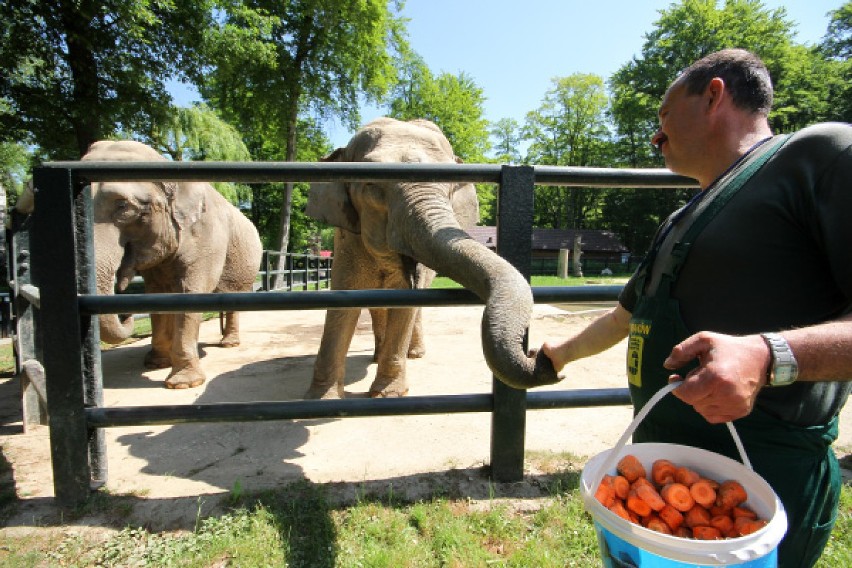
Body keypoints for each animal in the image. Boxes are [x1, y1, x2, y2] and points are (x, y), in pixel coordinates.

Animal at [85, 141, 262, 388]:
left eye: (123, 206)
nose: (126, 314)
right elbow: (155, 296)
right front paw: (156, 363)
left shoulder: (205, 236)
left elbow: (191, 293)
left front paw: (182, 384)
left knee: (234, 297)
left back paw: (229, 343)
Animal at [306, 117, 560, 398]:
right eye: (371, 184)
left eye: (450, 187)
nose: (538, 353)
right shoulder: (346, 240)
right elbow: (342, 301)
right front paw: (321, 398)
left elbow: (403, 303)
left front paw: (387, 395)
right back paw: (376, 356)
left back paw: (413, 354)